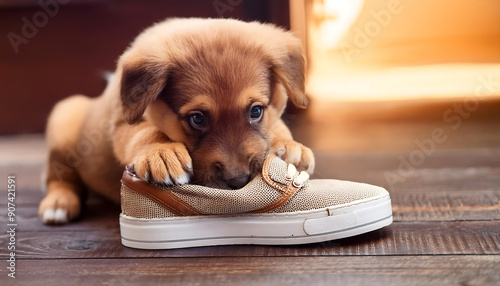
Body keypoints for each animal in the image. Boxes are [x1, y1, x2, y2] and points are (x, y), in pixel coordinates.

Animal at [39, 17, 314, 225]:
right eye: (197, 118)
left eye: (256, 111)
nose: (238, 182)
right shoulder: (122, 126)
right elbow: (147, 132)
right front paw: (162, 153)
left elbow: (277, 125)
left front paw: (290, 148)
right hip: (64, 120)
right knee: (59, 176)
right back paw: (59, 204)